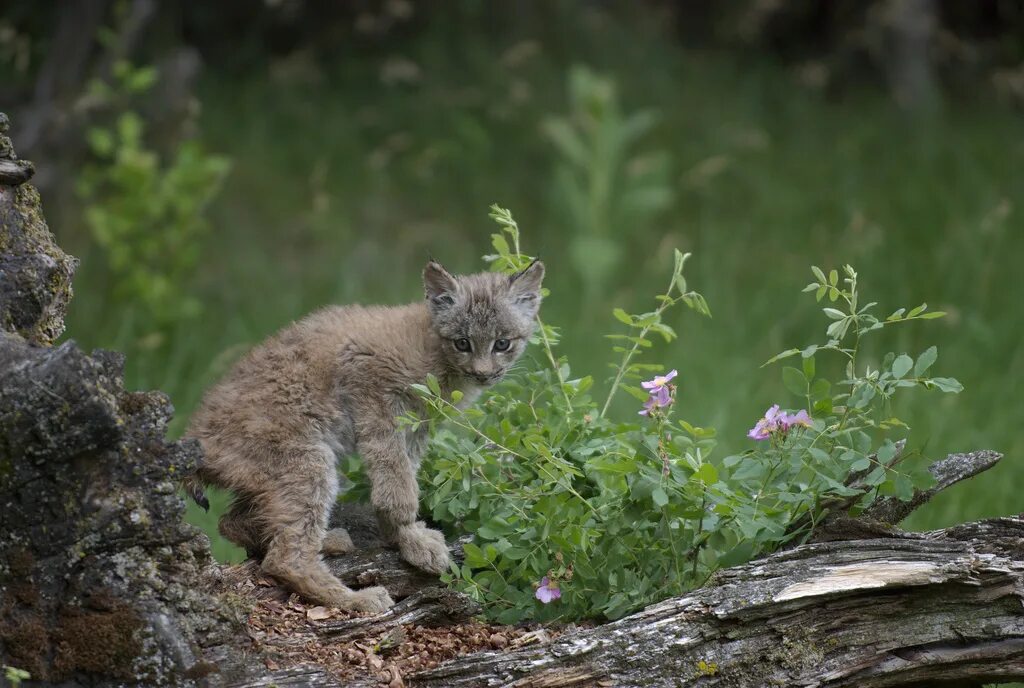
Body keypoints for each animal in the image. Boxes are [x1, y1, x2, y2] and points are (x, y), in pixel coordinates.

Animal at [188, 261, 548, 610]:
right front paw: (408, 533)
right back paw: (354, 599)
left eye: (502, 343)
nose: (483, 374)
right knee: (284, 558)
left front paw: (404, 538)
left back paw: (326, 540)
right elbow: (396, 480)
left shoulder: (416, 423)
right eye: (462, 343)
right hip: (308, 461)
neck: (437, 350)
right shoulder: (370, 385)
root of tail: (193, 436)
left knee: (230, 522)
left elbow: (404, 471)